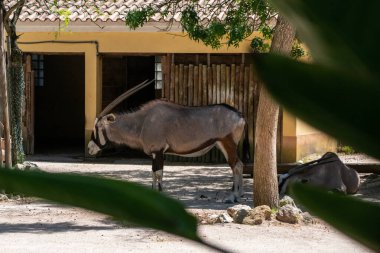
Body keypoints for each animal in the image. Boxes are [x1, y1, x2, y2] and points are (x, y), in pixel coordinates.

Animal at [87, 80, 245, 203]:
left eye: (97, 127)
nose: (89, 148)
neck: (143, 122)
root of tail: (239, 116)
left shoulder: (159, 151)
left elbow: (159, 173)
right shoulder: (154, 153)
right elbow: (152, 172)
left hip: (228, 144)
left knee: (236, 165)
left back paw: (233, 196)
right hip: (222, 145)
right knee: (239, 165)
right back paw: (238, 195)